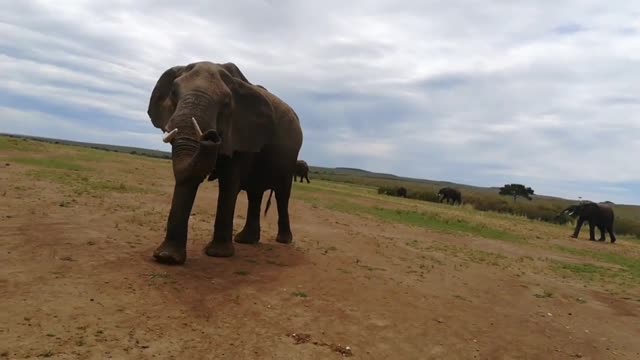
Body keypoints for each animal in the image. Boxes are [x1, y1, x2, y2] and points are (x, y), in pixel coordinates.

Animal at [146, 61, 304, 264]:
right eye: (173, 93)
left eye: (226, 104)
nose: (211, 136)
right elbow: (190, 175)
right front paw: (167, 258)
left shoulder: (240, 133)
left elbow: (229, 182)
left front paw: (218, 254)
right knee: (255, 193)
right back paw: (246, 240)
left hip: (290, 157)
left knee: (282, 194)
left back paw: (283, 241)